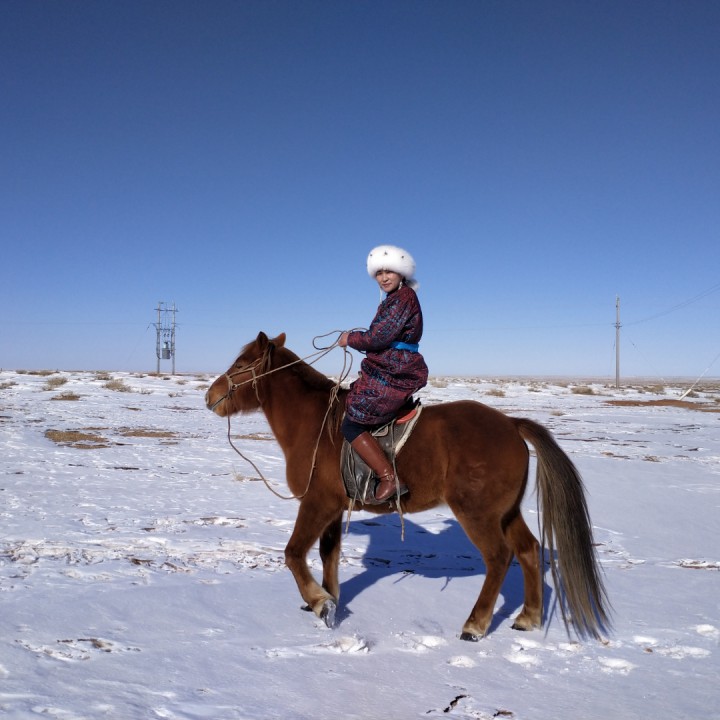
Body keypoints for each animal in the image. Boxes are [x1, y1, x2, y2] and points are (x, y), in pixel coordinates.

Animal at [205, 332, 610, 641]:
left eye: (241, 364)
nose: (210, 396)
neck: (316, 424)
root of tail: (511, 424)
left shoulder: (317, 503)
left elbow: (293, 553)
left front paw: (320, 602)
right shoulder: (335, 506)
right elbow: (328, 554)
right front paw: (329, 600)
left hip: (478, 514)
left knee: (499, 557)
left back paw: (475, 625)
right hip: (505, 512)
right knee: (528, 550)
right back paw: (528, 617)